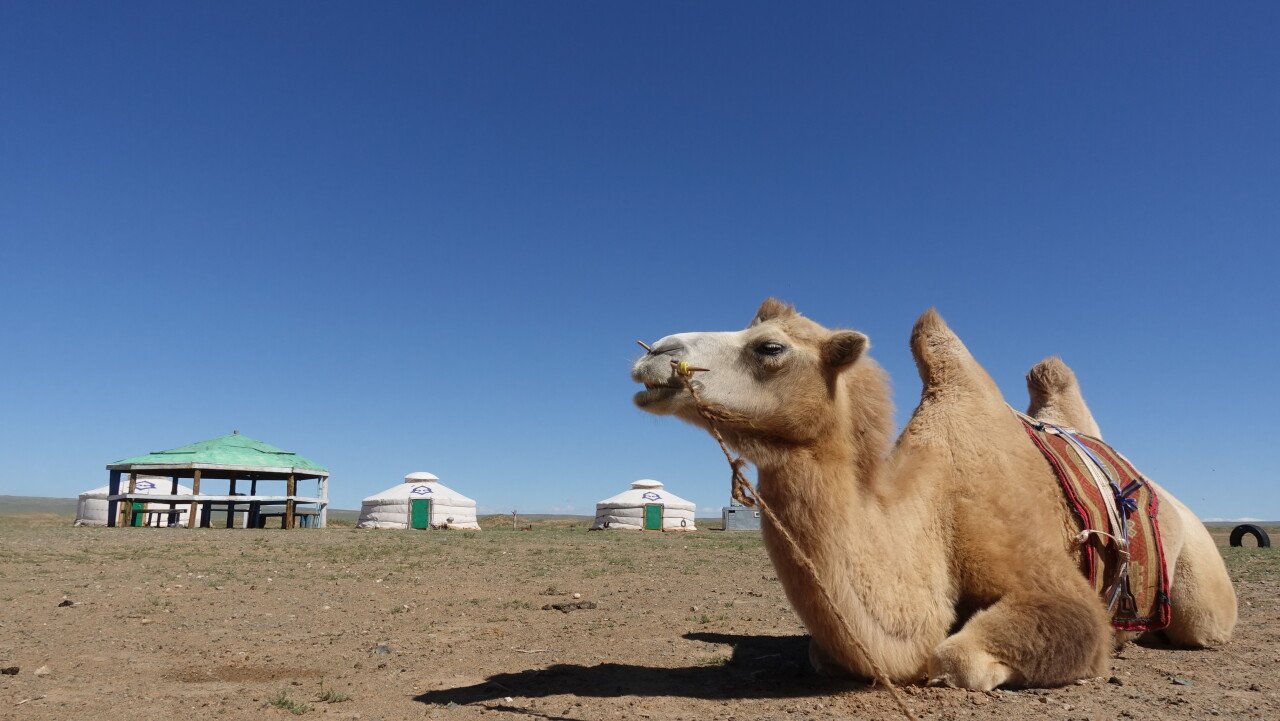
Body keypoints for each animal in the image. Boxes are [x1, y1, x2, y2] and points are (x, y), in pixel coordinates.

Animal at [634, 300, 1233, 691]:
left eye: (770, 347)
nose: (654, 353)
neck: (934, 512)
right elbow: (826, 655)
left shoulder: (1050, 582)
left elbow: (960, 656)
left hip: (1201, 585)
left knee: (1202, 626)